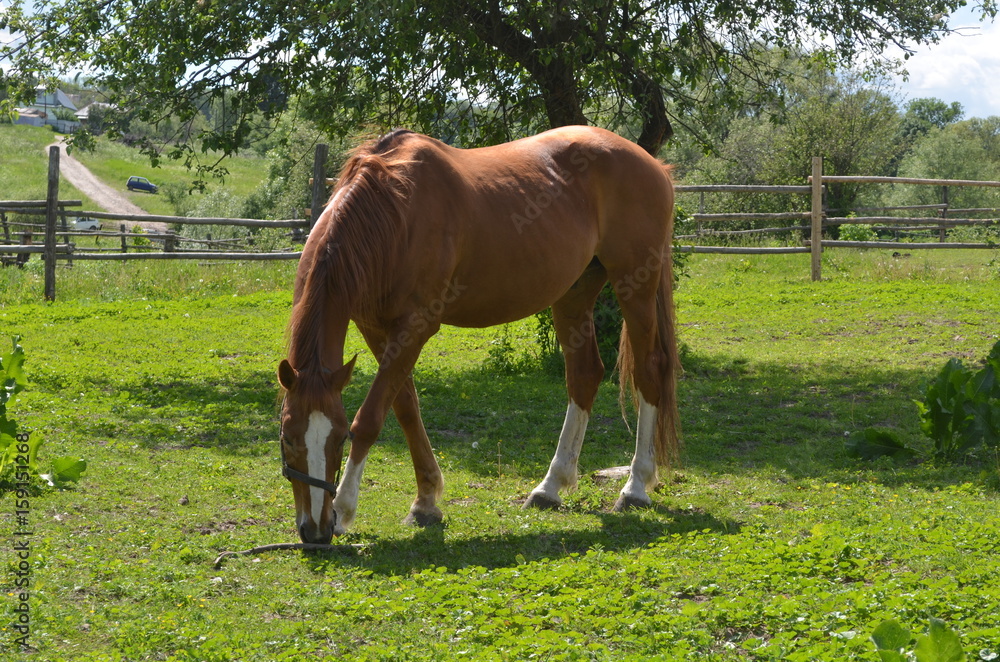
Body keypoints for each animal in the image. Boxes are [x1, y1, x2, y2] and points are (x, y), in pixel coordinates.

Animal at [277, 125, 680, 544]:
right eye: (286, 437)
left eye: (340, 437)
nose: (314, 529)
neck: (392, 213)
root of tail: (654, 166)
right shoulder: (375, 327)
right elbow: (405, 407)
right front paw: (425, 502)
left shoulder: (416, 326)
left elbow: (371, 416)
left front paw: (344, 508)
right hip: (576, 290)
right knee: (584, 375)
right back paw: (550, 487)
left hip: (635, 284)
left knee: (648, 371)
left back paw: (635, 487)